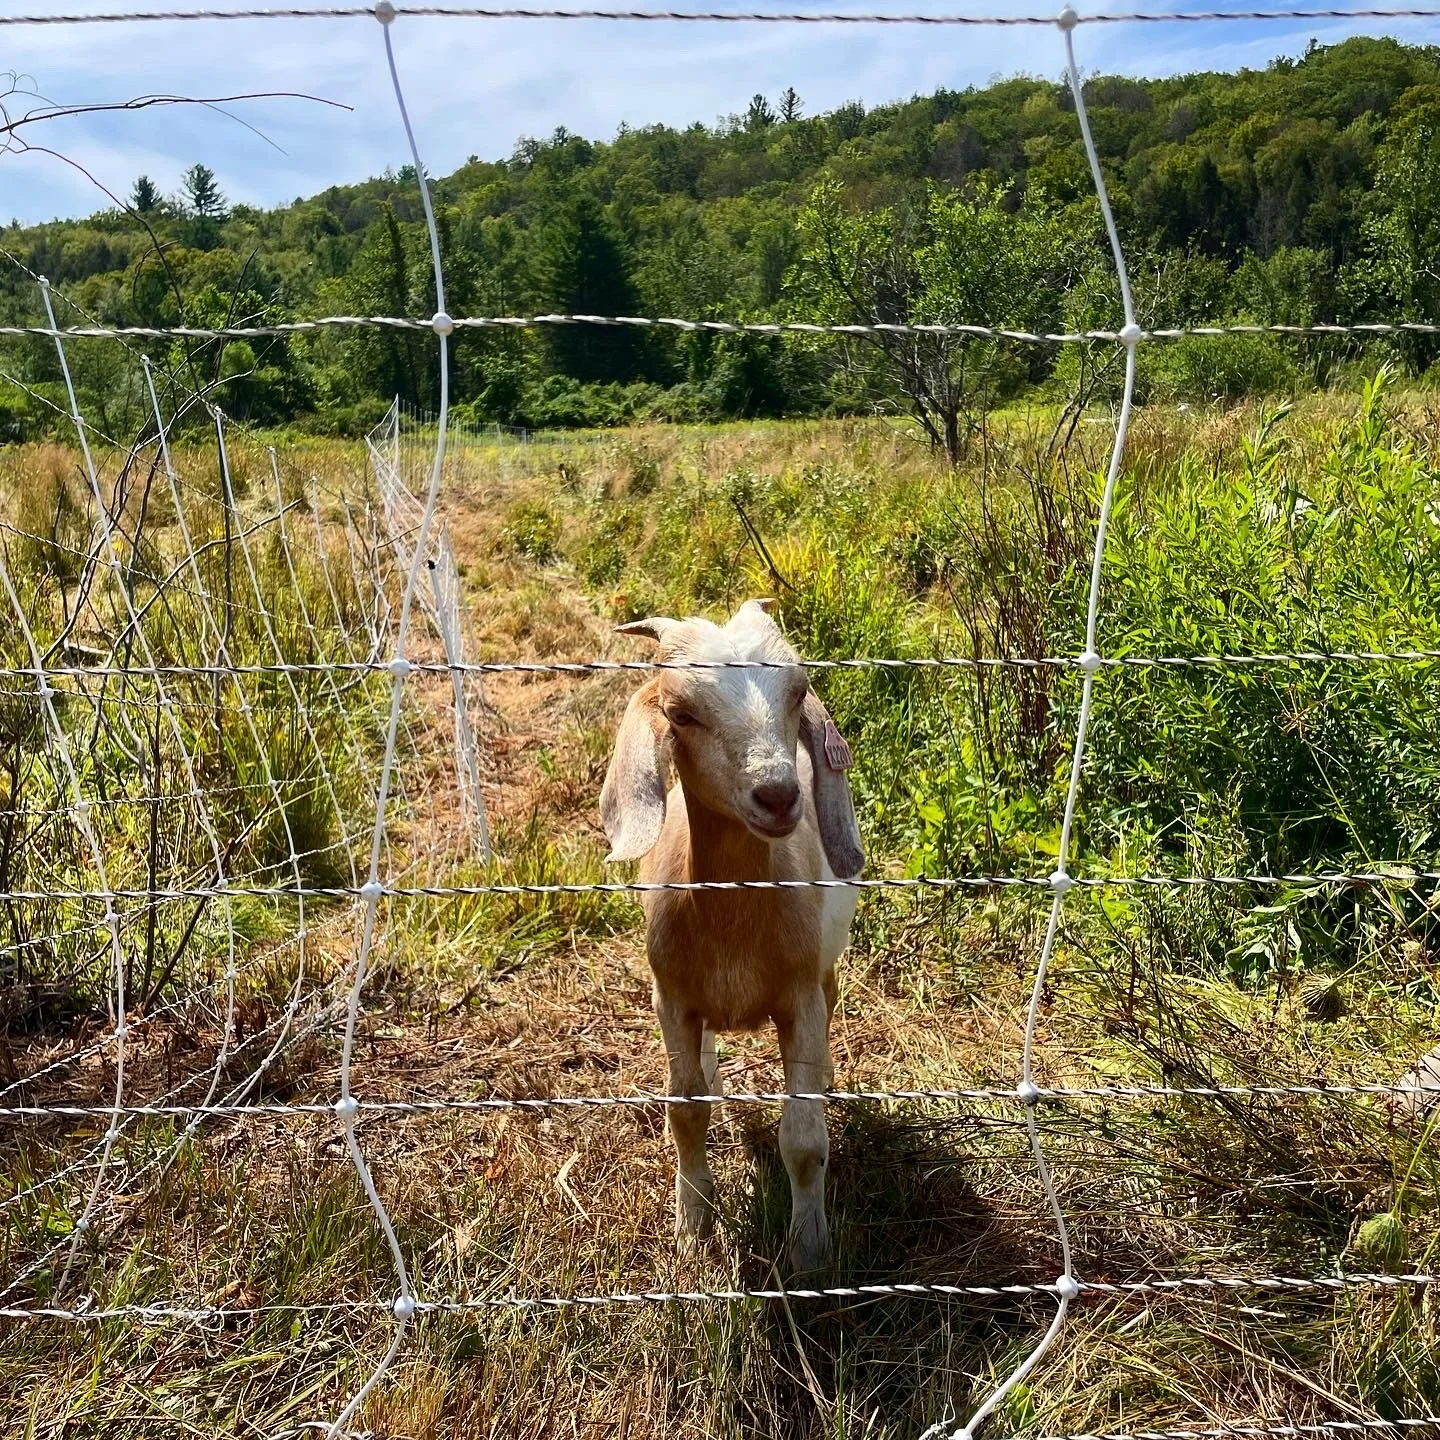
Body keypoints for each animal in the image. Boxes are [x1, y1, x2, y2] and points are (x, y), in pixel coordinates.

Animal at [600, 599, 863, 1274]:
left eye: (797, 692)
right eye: (680, 713)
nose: (778, 794)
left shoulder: (799, 997)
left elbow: (803, 1137)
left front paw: (810, 1251)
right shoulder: (672, 997)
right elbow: (685, 1113)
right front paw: (692, 1230)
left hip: (826, 961)